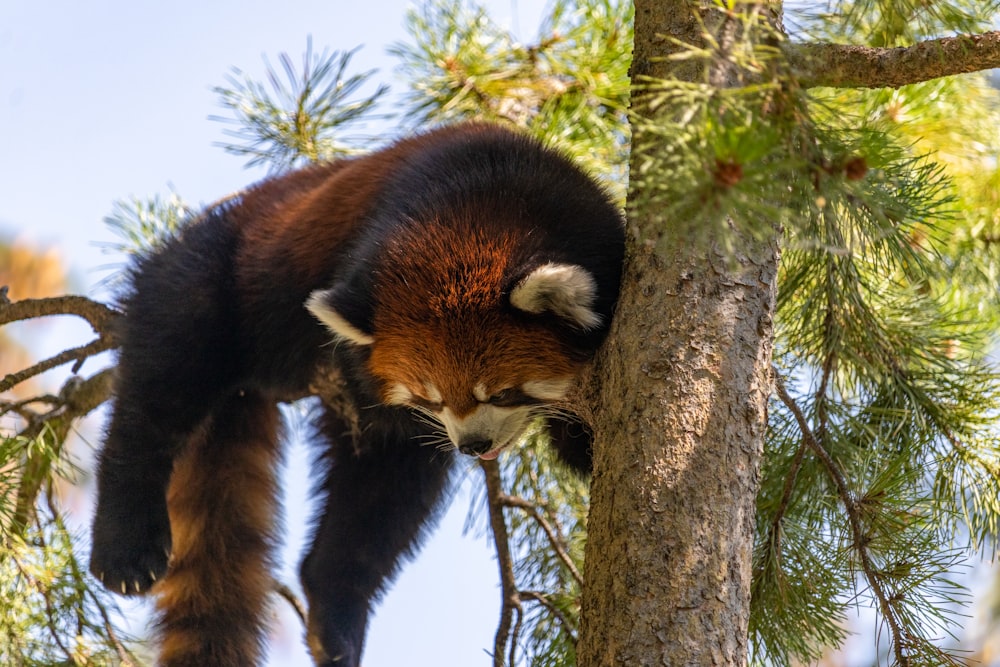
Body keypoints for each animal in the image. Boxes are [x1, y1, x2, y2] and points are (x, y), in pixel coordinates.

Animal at [92, 122, 624, 664]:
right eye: (430, 398)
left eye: (502, 393)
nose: (472, 446)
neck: (487, 200)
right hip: (220, 270)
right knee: (162, 382)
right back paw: (126, 543)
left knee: (376, 508)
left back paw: (333, 617)